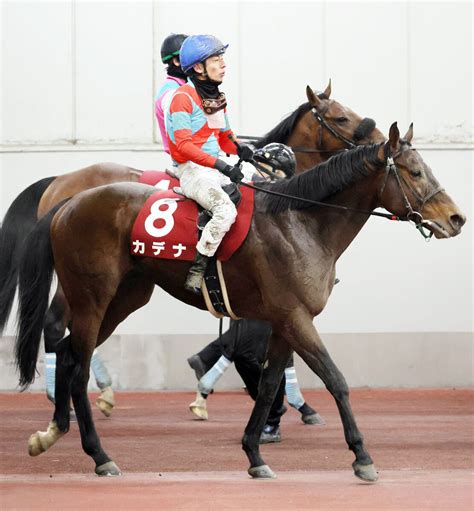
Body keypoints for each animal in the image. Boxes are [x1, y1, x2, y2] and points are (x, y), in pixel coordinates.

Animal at [13, 122, 462, 482]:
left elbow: (268, 385)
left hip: (126, 298)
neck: (300, 222)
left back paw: (52, 433)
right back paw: (98, 454)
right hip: (92, 298)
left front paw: (255, 453)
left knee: (69, 354)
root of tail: (68, 201)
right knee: (77, 364)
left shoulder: (283, 322)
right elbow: (335, 380)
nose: (456, 218)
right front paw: (362, 456)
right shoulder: (296, 317)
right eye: (415, 172)